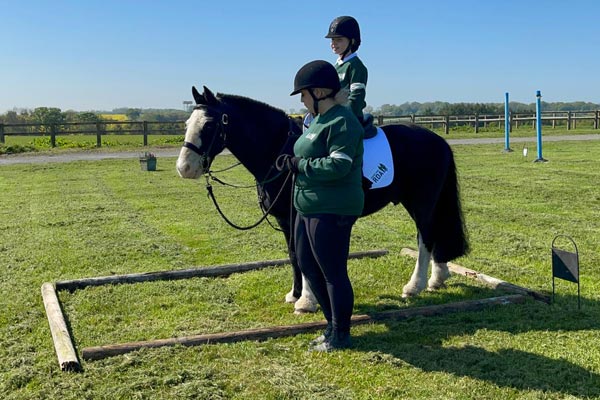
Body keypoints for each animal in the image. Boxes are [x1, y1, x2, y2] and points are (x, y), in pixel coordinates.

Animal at [176, 86, 472, 314]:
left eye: (209, 124)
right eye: (187, 124)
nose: (184, 168)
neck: (280, 150)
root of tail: (437, 140)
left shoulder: (301, 215)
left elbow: (304, 254)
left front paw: (307, 301)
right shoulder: (285, 219)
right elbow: (293, 255)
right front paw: (295, 294)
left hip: (421, 203)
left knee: (426, 237)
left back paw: (415, 286)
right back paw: (438, 278)